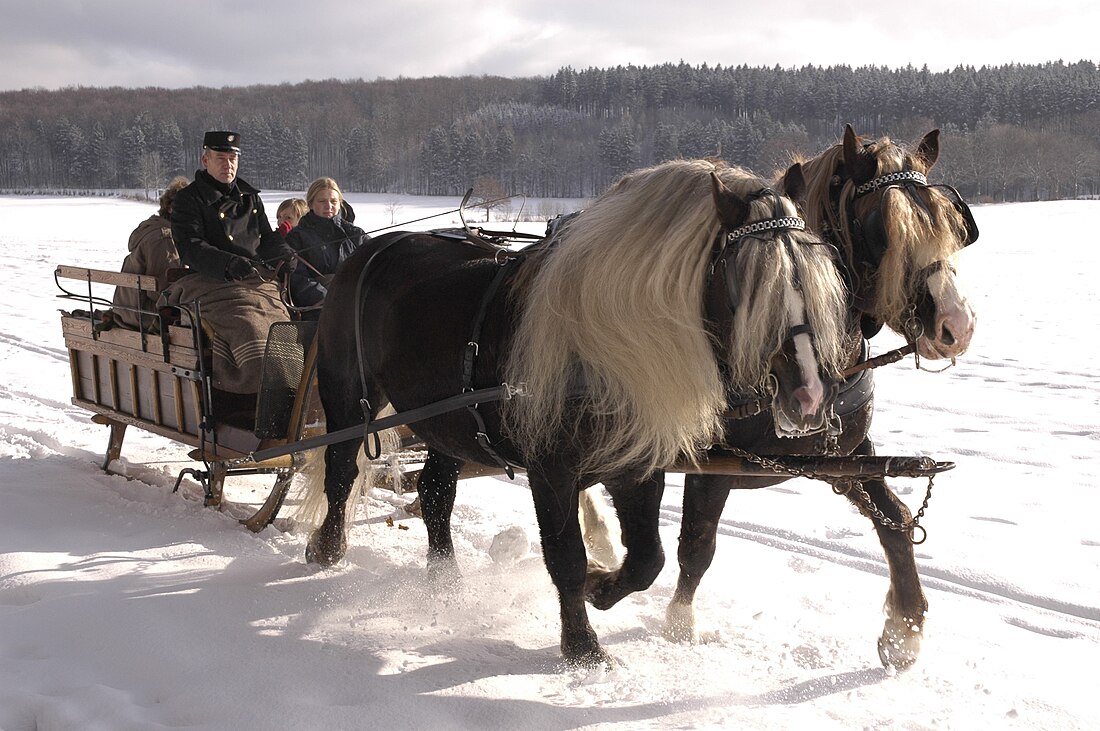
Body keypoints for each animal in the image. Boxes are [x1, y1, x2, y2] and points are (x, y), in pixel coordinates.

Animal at [305, 159, 844, 668]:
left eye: (815, 273)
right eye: (749, 284)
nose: (810, 396)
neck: (599, 348)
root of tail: (370, 251)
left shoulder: (635, 466)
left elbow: (647, 559)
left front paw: (601, 588)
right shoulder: (551, 471)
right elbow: (565, 557)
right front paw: (582, 647)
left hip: (451, 423)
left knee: (436, 492)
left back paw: (446, 584)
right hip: (348, 395)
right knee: (340, 468)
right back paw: (327, 547)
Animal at [664, 124, 976, 668]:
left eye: (949, 221)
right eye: (882, 229)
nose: (956, 326)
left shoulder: (846, 456)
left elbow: (896, 522)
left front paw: (904, 627)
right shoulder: (712, 462)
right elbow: (697, 544)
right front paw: (678, 624)